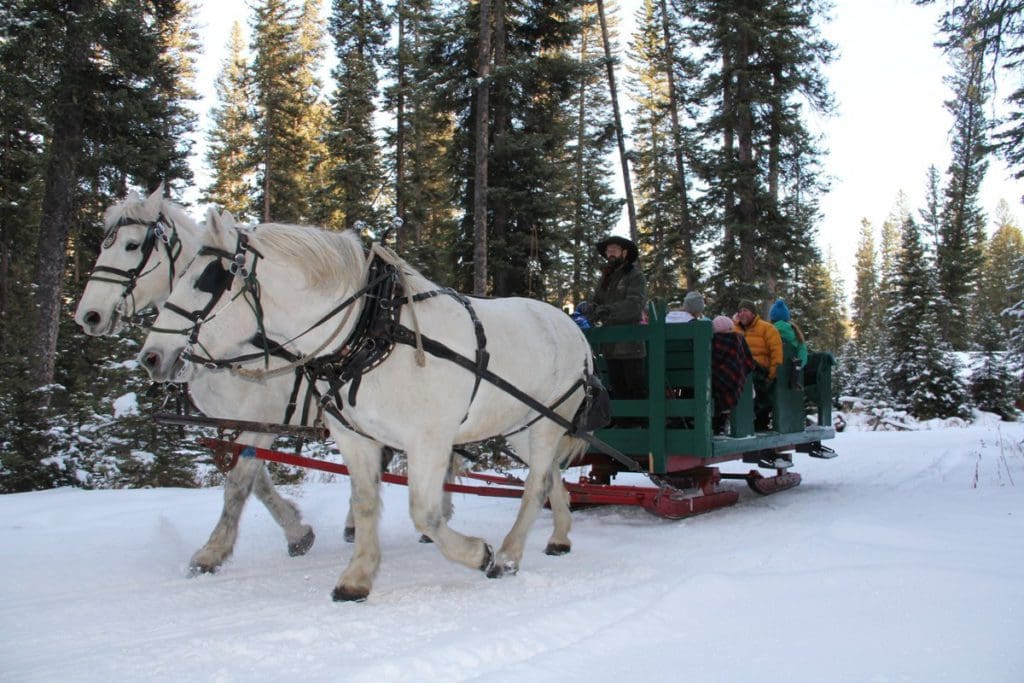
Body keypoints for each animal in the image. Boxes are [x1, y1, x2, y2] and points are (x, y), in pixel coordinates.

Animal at [140, 211, 598, 598]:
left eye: (205, 280)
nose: (151, 356)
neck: (373, 330)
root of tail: (574, 328)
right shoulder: (352, 435)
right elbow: (363, 502)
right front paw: (357, 576)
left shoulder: (428, 439)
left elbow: (424, 512)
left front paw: (475, 553)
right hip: (521, 425)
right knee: (550, 477)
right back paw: (560, 536)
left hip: (547, 422)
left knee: (534, 484)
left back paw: (506, 556)